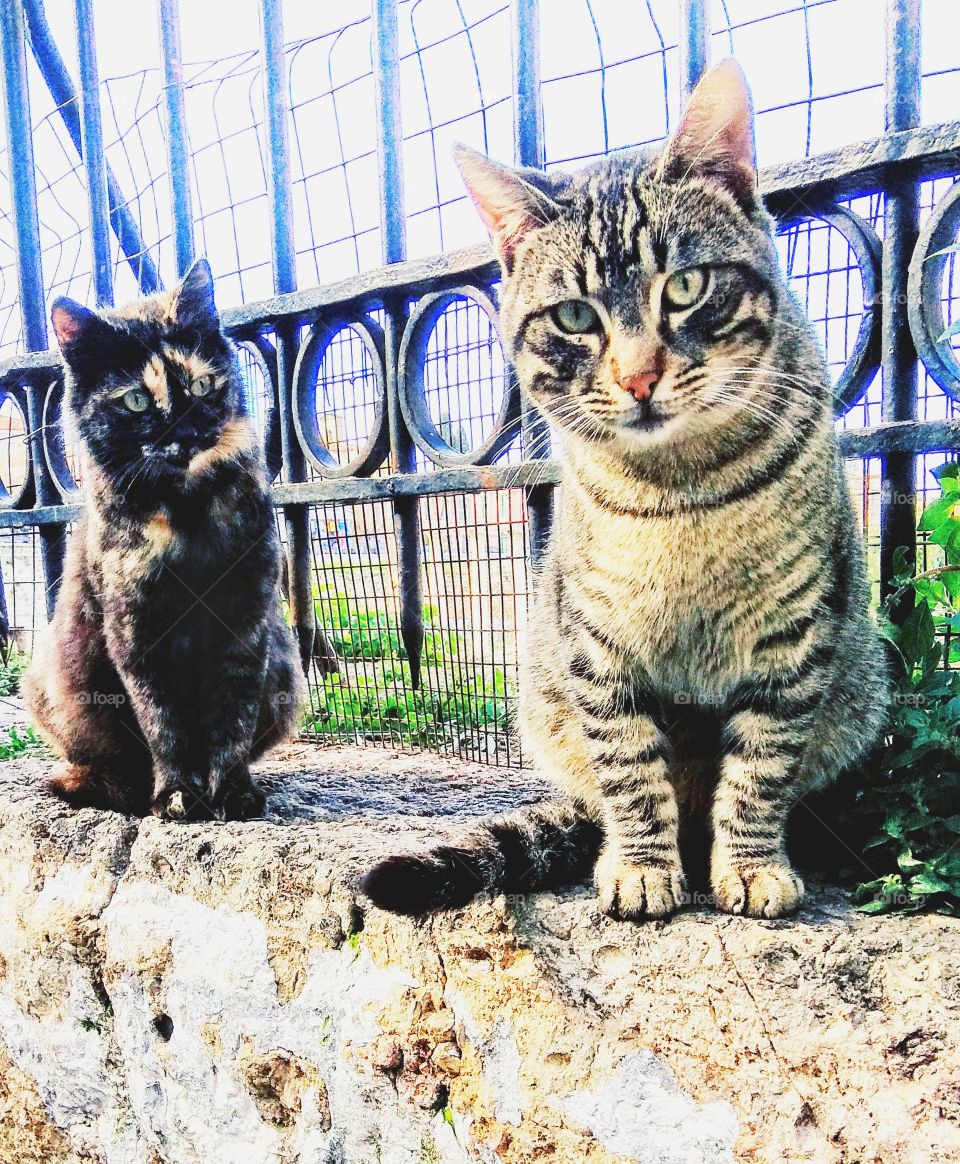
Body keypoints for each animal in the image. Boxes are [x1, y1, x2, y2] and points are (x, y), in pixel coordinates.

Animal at [24, 260, 302, 819]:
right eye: (135, 401)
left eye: (200, 384)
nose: (187, 432)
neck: (187, 511)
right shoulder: (135, 630)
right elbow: (163, 723)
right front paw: (176, 794)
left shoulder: (245, 621)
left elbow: (233, 722)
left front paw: (232, 791)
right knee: (106, 762)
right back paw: (107, 789)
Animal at [363, 61, 889, 917]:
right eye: (576, 316)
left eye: (686, 286)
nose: (640, 377)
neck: (681, 490)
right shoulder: (596, 643)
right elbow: (630, 771)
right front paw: (642, 867)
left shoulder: (794, 635)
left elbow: (761, 768)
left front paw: (751, 865)